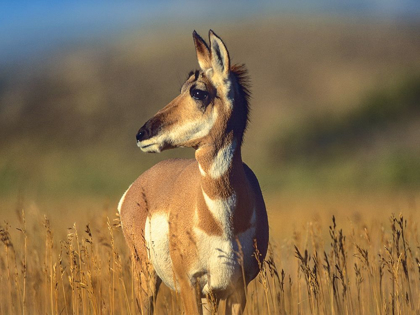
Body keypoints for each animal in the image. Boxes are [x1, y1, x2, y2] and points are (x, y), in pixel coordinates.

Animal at [118, 30, 270, 315]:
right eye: (181, 89)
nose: (142, 133)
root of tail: (137, 186)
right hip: (145, 275)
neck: (222, 221)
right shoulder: (189, 285)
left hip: (209, 295)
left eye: (198, 92)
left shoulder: (238, 290)